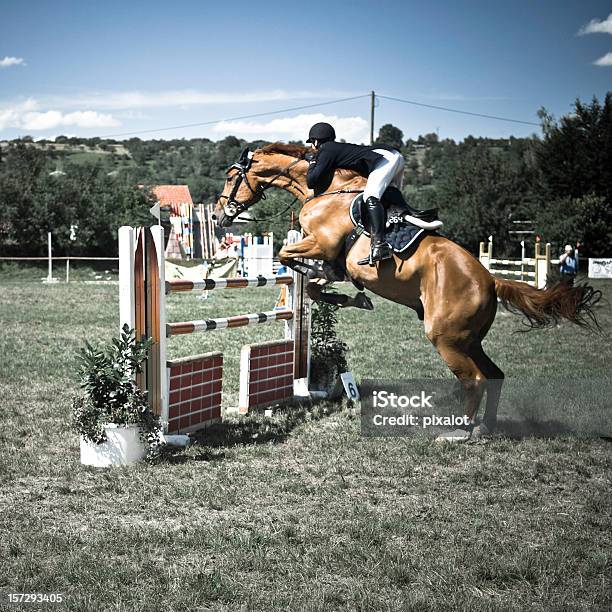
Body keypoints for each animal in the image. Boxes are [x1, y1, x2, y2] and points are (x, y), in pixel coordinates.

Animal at [214, 143, 596, 436]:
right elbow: (313, 289)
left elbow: (286, 256)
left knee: (474, 379)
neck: (325, 189)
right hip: (468, 339)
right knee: (494, 375)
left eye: (232, 176)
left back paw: (459, 432)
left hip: (445, 337)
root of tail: (491, 280)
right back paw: (485, 428)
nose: (219, 216)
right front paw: (350, 296)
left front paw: (334, 284)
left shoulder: (321, 243)